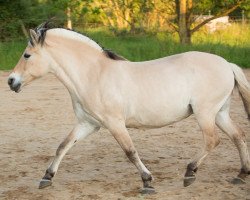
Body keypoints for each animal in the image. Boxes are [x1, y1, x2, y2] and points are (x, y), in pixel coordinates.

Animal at [7, 22, 250, 193]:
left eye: (27, 55)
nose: (11, 81)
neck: (93, 75)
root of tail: (227, 64)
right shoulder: (87, 124)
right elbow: (63, 146)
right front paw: (46, 178)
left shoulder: (115, 124)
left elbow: (130, 152)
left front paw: (147, 183)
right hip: (219, 114)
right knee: (238, 135)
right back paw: (240, 175)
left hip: (205, 113)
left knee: (213, 140)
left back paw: (190, 174)